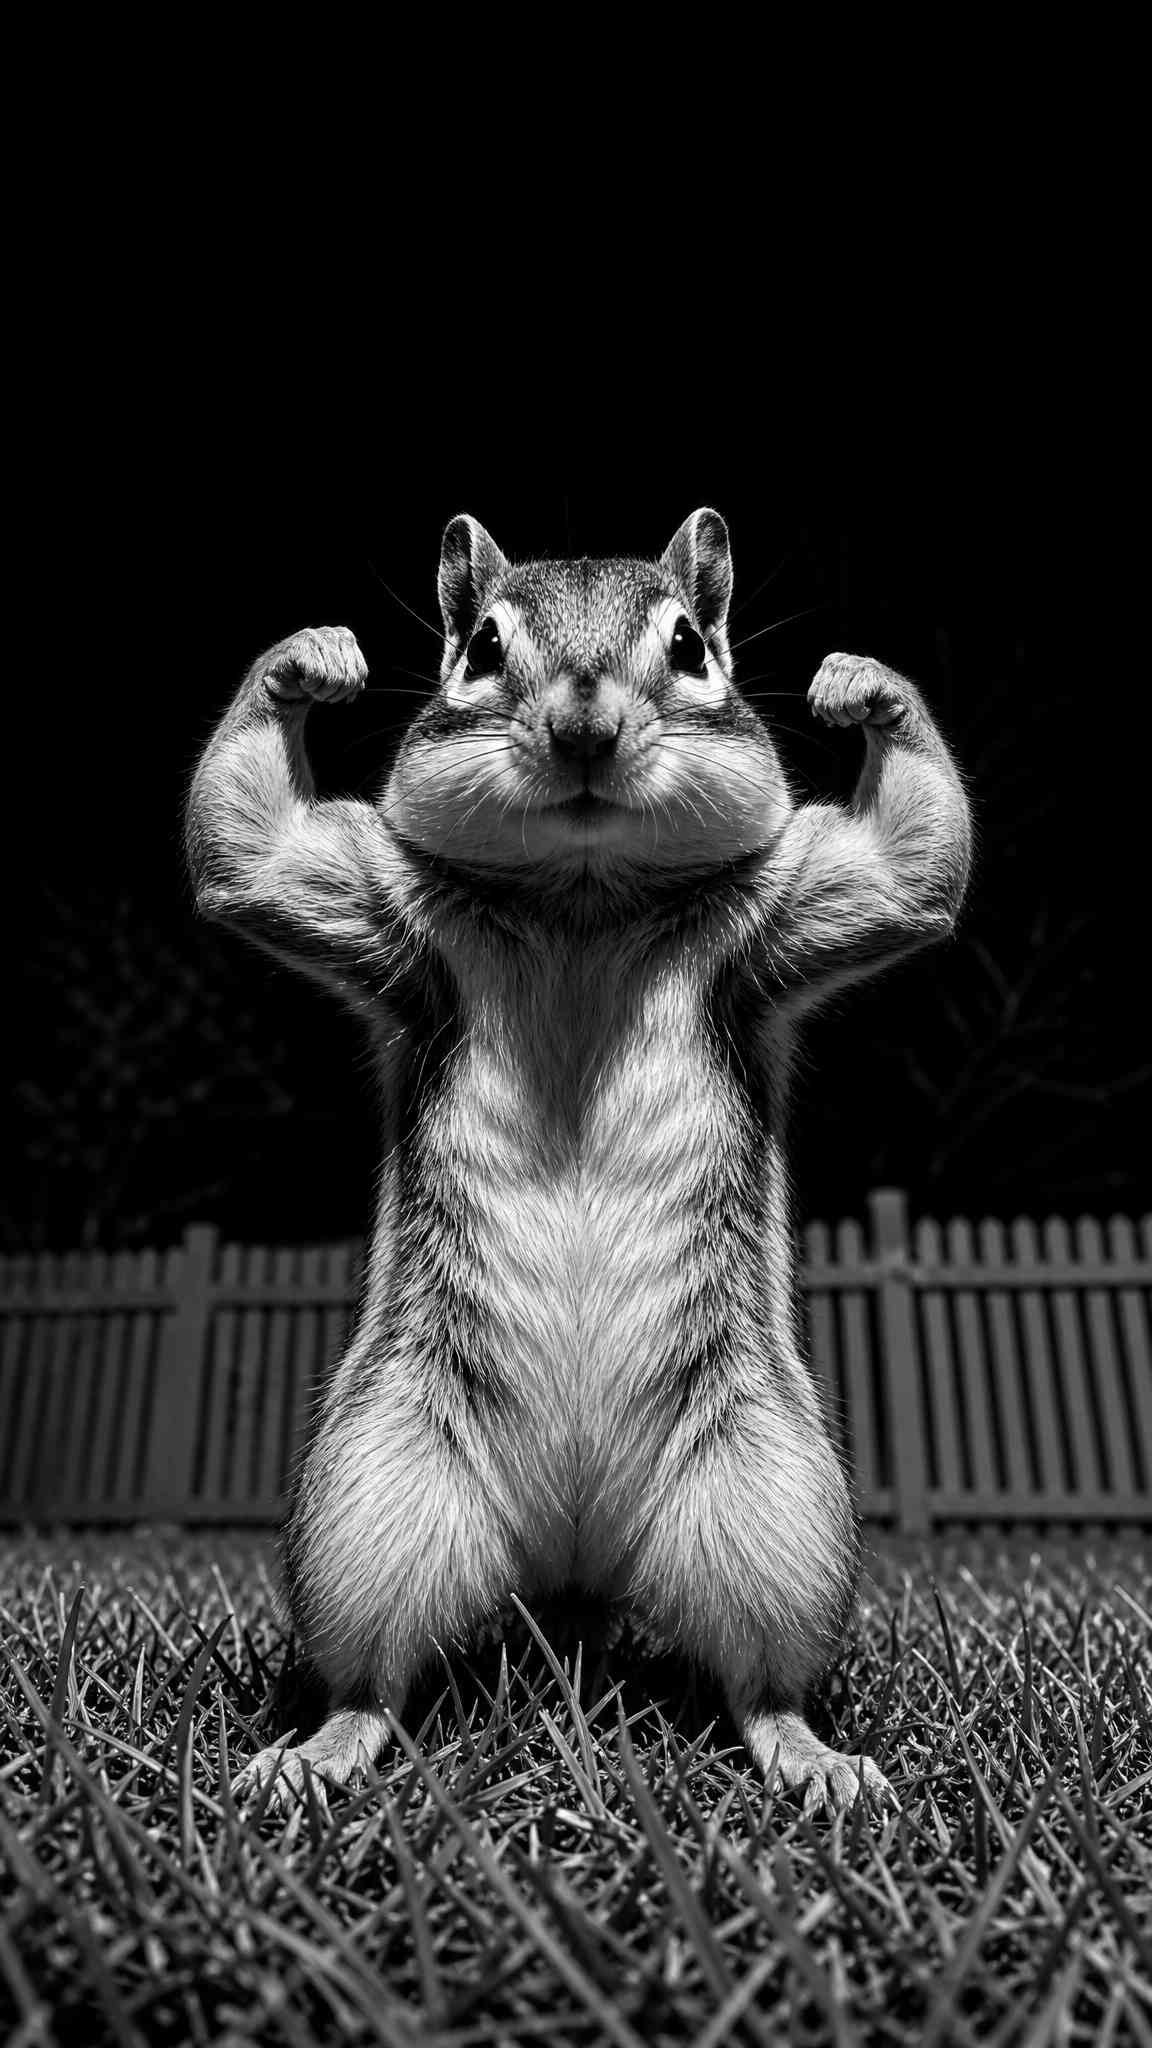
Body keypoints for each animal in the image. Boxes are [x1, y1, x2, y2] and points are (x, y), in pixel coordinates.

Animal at [186, 509, 971, 1816]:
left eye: (693, 642)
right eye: (482, 646)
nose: (586, 727)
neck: (582, 890)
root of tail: (575, 1552)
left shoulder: (797, 903)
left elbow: (917, 866)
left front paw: (861, 685)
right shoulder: (373, 898)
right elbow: (247, 848)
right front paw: (308, 660)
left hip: (773, 1500)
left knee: (760, 1680)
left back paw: (809, 1754)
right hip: (369, 1497)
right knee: (375, 1675)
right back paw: (321, 1746)